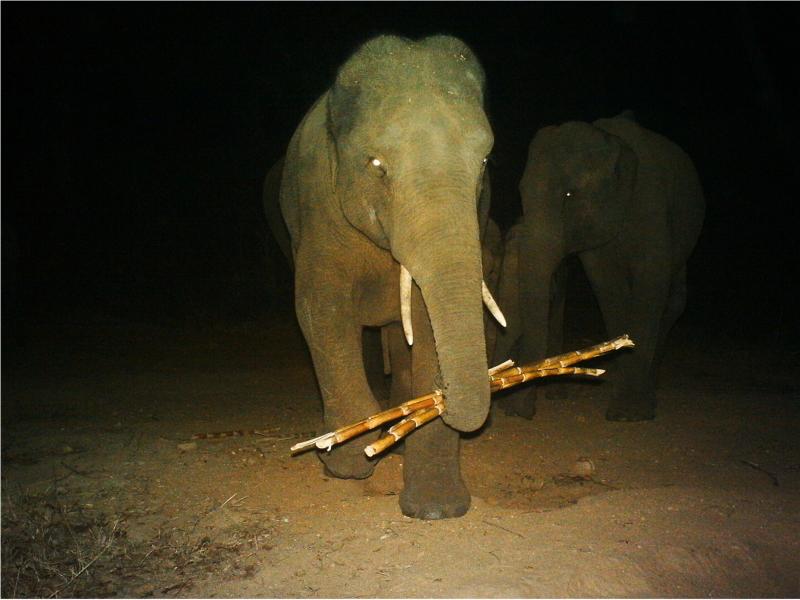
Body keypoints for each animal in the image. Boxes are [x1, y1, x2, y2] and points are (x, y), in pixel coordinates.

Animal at [278, 35, 504, 516]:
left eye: (484, 161)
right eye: (377, 165)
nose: (448, 399)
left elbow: (425, 323)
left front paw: (436, 509)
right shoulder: (318, 205)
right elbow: (319, 307)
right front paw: (347, 463)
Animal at [494, 112, 708, 422]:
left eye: (569, 195)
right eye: (521, 193)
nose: (519, 414)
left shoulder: (652, 207)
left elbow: (650, 283)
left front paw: (628, 413)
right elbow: (607, 287)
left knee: (673, 300)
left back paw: (647, 396)